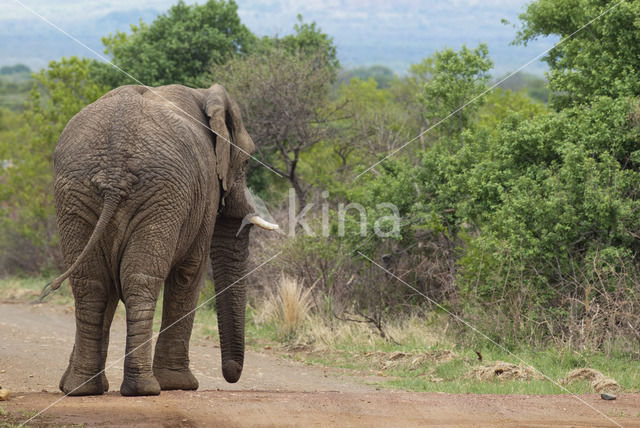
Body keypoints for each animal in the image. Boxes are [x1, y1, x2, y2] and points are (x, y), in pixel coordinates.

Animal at [48, 83, 278, 398]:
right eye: (244, 162)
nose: (231, 375)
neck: (203, 94)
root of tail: (114, 164)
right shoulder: (204, 188)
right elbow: (189, 272)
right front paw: (180, 384)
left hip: (75, 192)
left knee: (91, 283)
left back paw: (80, 388)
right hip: (160, 194)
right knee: (140, 279)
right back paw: (144, 388)